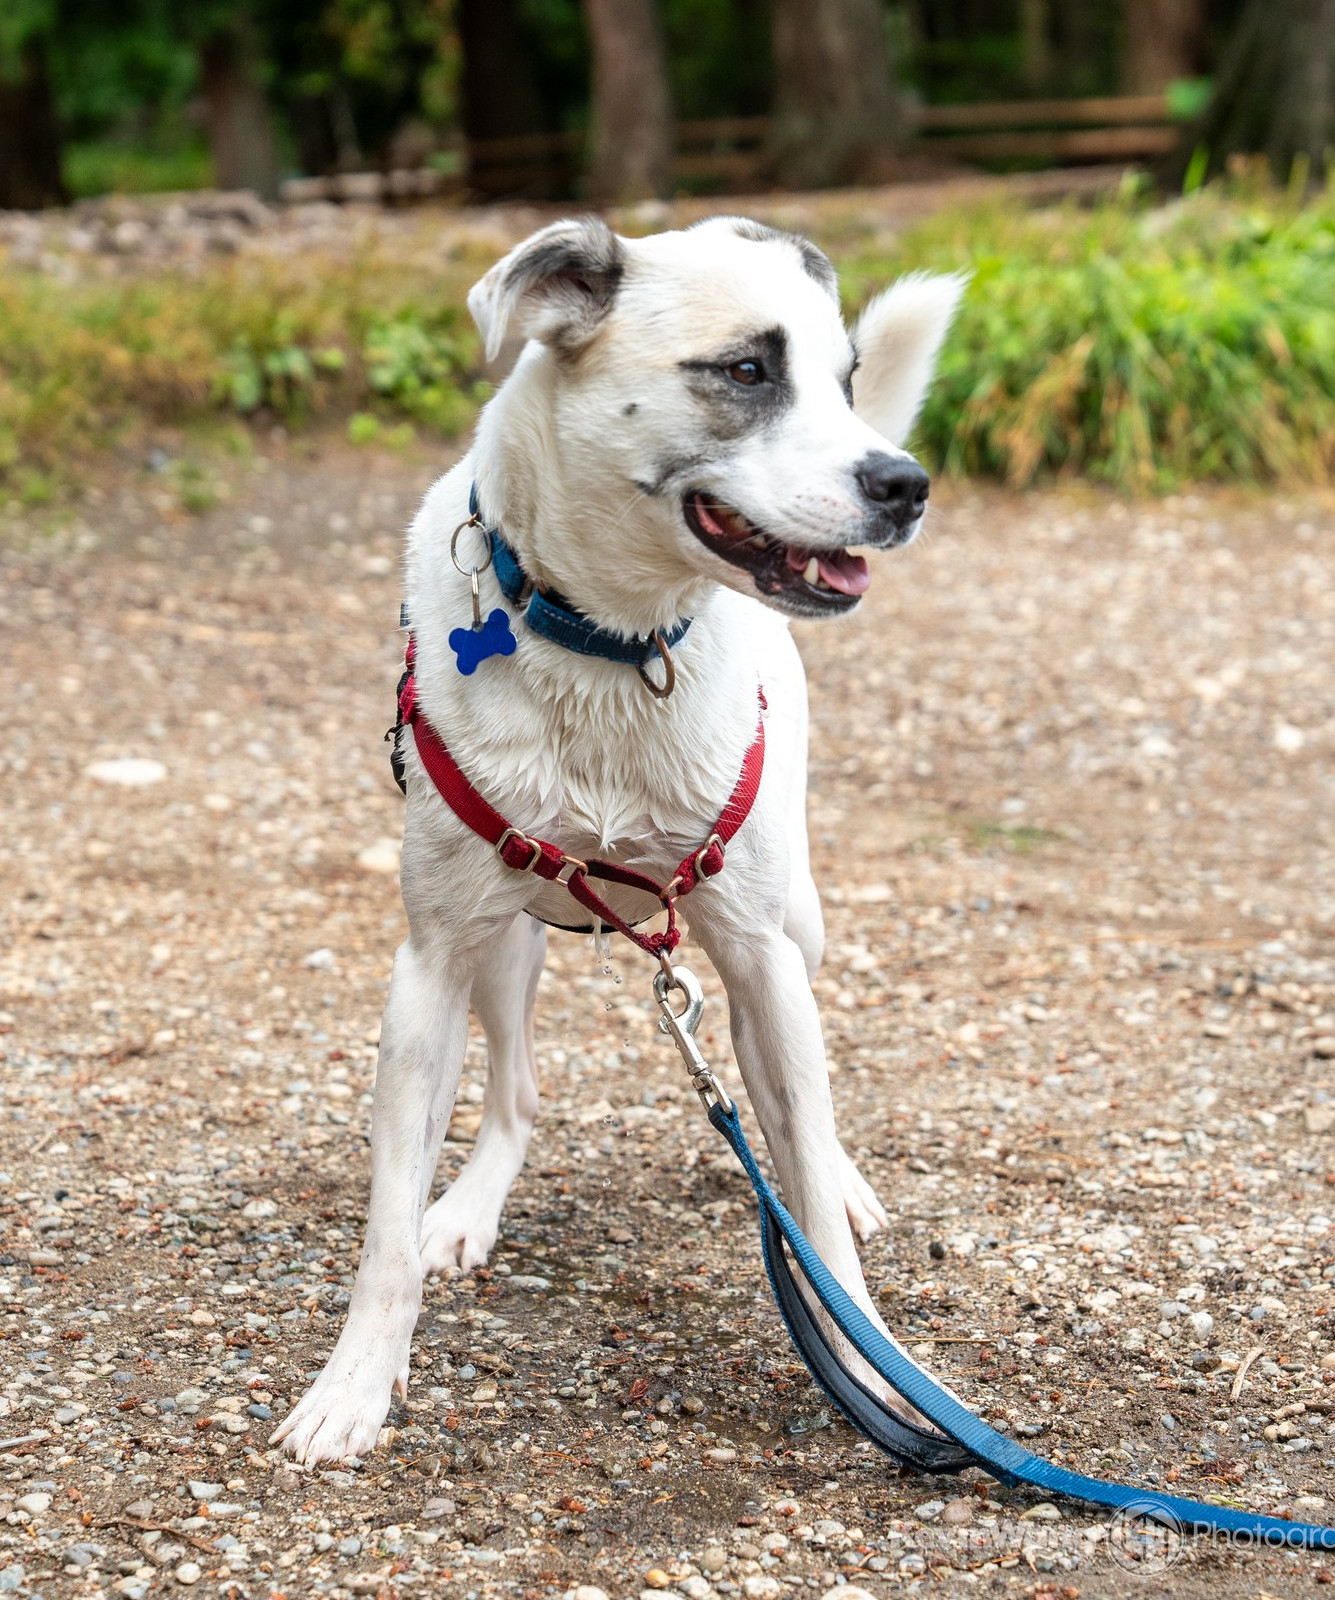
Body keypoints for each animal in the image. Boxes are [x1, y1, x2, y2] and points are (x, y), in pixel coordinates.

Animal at [273, 219, 960, 1465]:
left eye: (845, 383)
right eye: (746, 369)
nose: (905, 484)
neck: (617, 644)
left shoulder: (761, 962)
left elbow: (814, 1199)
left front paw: (871, 1368)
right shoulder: (428, 967)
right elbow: (385, 1231)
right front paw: (354, 1384)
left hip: (801, 929)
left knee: (801, 1113)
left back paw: (835, 1181)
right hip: (506, 947)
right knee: (516, 1097)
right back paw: (468, 1207)